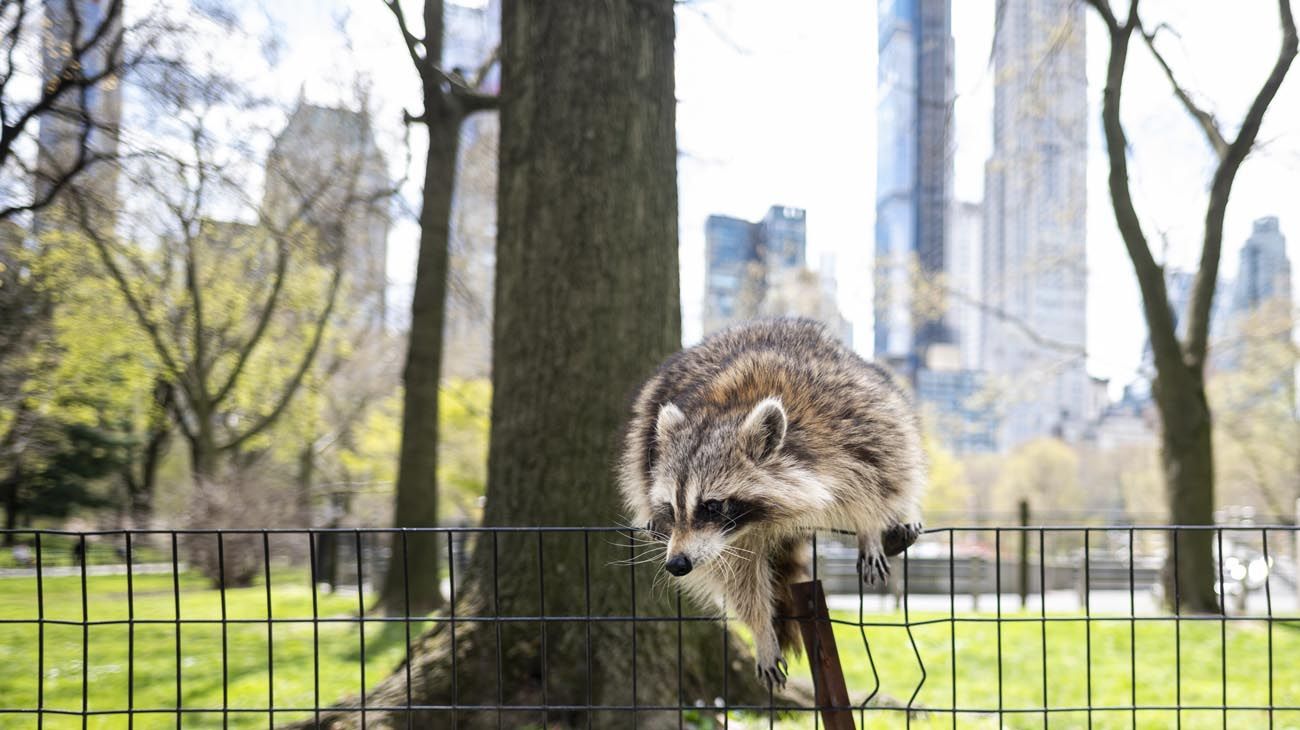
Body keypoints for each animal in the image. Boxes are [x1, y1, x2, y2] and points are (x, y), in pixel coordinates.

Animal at [618, 315, 925, 685]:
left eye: (711, 505)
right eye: (671, 508)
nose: (677, 564)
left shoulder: (851, 423)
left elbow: (880, 475)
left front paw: (869, 526)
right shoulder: (730, 539)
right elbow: (739, 578)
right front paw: (761, 630)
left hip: (878, 392)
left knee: (903, 451)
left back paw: (903, 515)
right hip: (645, 427)